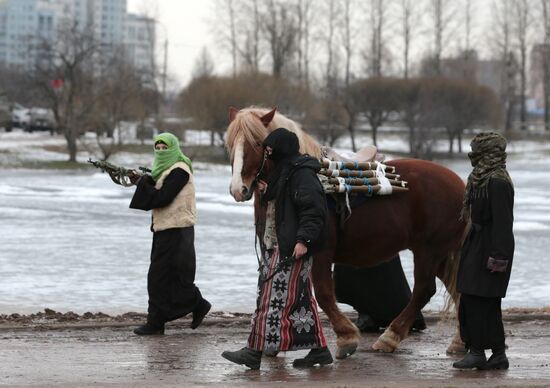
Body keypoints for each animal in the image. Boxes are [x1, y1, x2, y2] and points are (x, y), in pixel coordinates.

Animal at [226, 107, 468, 360]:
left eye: (257, 143)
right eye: (231, 144)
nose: (238, 189)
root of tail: (460, 185)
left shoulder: (320, 252)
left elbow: (323, 294)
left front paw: (346, 337)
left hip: (429, 250)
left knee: (423, 290)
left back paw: (390, 336)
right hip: (441, 253)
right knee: (456, 291)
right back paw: (459, 342)